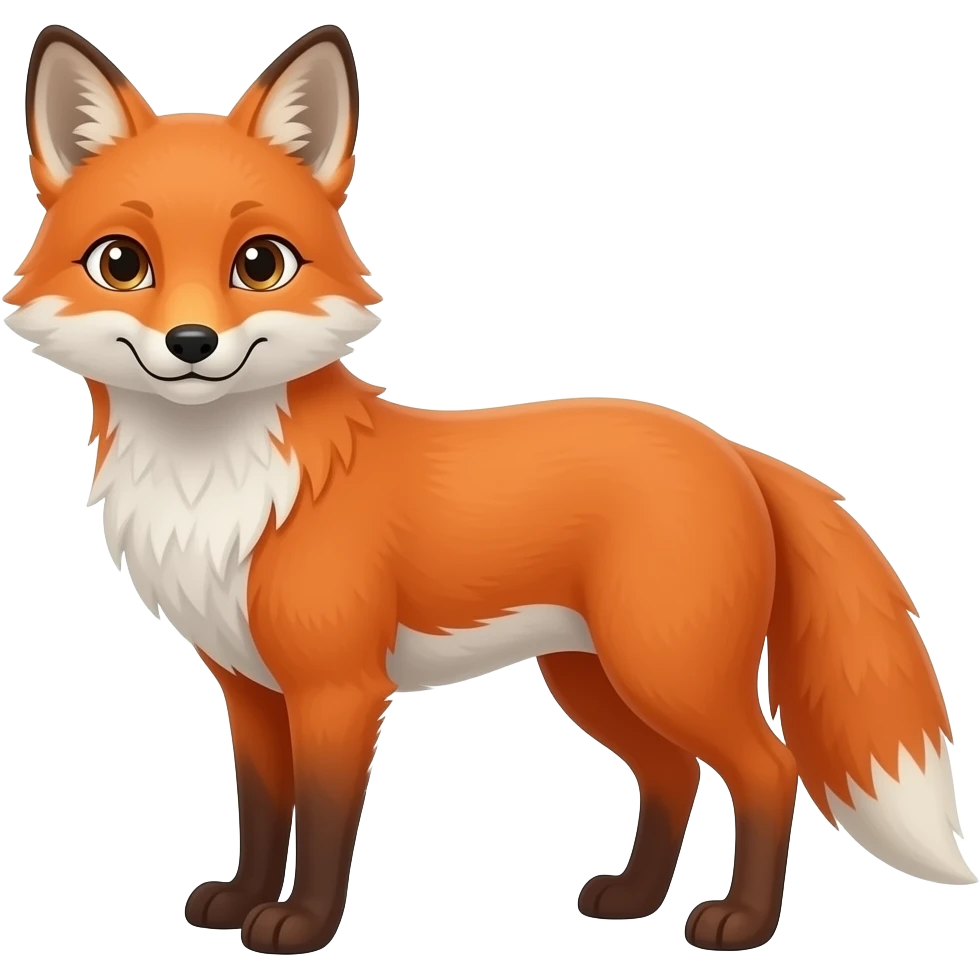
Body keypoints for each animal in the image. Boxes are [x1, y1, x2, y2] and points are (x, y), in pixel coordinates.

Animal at [4, 21, 974, 956]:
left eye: (261, 263)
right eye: (123, 263)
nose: (193, 344)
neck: (219, 487)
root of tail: (731, 447)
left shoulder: (338, 689)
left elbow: (322, 823)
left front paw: (298, 928)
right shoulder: (248, 689)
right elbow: (262, 811)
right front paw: (241, 902)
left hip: (667, 670)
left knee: (770, 769)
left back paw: (740, 923)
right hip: (594, 678)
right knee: (672, 773)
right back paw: (633, 900)